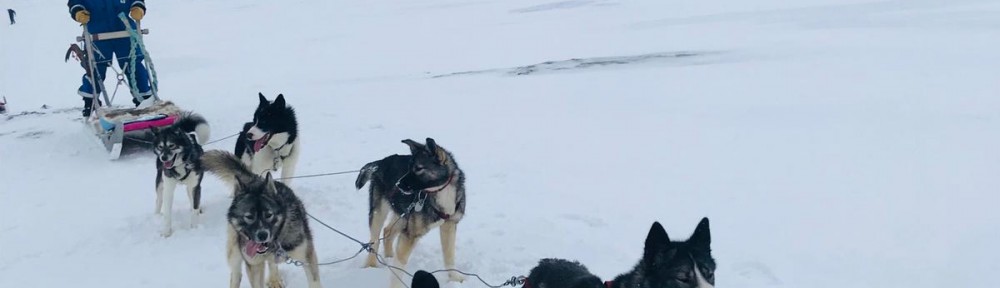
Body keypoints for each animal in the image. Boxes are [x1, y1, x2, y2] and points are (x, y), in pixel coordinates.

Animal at [197, 151, 318, 288]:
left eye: (269, 215)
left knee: (271, 263)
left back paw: (274, 279)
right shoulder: (254, 266)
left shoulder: (307, 257)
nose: (262, 235)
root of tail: (254, 180)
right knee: (236, 275)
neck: (274, 244)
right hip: (234, 251)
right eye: (249, 217)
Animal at [356, 137, 468, 284]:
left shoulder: (449, 225)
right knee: (374, 240)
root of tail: (381, 162)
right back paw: (371, 265)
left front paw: (454, 277)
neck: (439, 192)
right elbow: (400, 265)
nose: (398, 184)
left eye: (419, 168)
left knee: (388, 231)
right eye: (409, 168)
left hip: (403, 216)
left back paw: (389, 257)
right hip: (379, 214)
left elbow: (449, 255)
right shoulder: (410, 234)